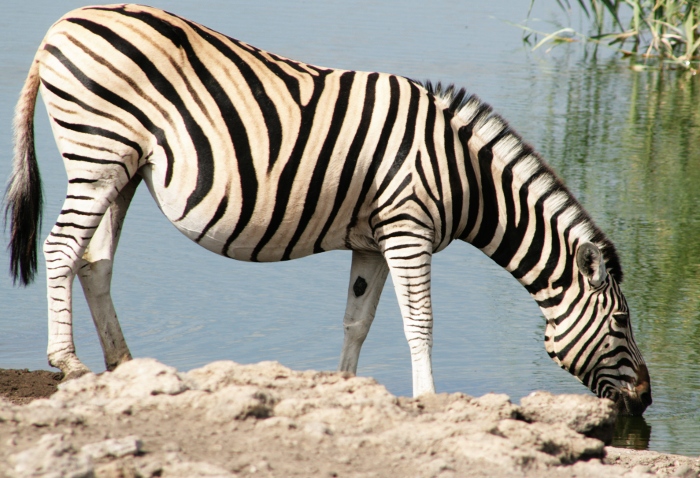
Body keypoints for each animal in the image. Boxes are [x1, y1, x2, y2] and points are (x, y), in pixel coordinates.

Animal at [5, 4, 651, 414]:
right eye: (622, 323)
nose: (647, 399)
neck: (464, 174)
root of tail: (63, 24)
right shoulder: (408, 228)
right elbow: (420, 322)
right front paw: (429, 398)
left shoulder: (374, 241)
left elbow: (356, 320)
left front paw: (344, 389)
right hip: (98, 153)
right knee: (61, 248)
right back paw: (69, 363)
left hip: (125, 169)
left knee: (95, 262)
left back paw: (124, 365)